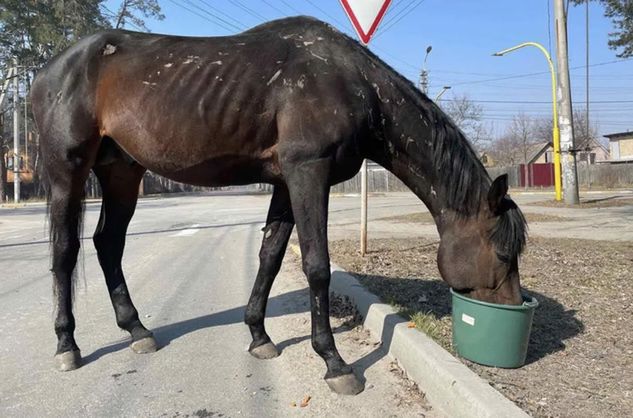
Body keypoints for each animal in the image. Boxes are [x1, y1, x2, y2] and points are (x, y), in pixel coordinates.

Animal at [30, 16, 524, 396]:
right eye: (503, 253)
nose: (514, 308)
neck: (353, 82)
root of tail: (48, 69)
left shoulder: (286, 183)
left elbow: (270, 255)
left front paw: (258, 335)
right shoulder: (308, 172)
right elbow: (316, 265)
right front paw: (334, 362)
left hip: (122, 172)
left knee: (108, 243)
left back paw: (137, 330)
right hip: (67, 169)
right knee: (65, 251)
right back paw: (67, 346)